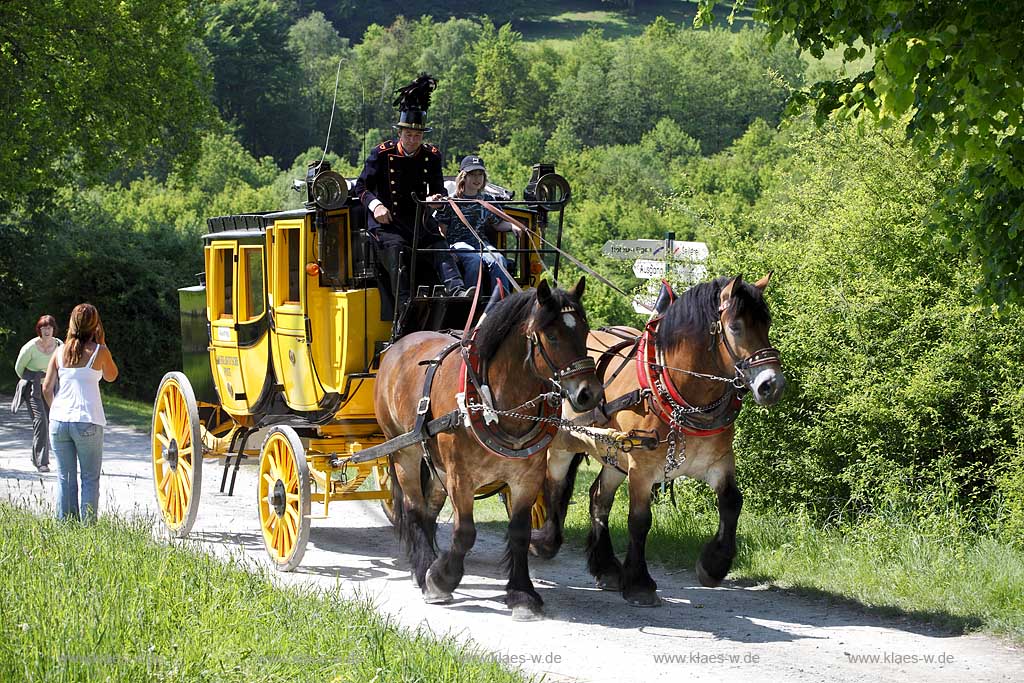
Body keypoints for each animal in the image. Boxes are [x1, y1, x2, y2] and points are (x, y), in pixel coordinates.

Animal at [374, 276, 598, 618]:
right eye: (552, 336)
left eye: (584, 331)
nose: (589, 393)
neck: (496, 402)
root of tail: (398, 345)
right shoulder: (461, 477)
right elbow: (465, 532)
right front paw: (441, 579)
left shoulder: (527, 477)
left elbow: (519, 533)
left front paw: (521, 593)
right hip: (404, 452)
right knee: (413, 508)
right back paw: (424, 569)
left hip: (435, 462)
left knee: (428, 509)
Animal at [536, 274, 782, 606]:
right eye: (735, 327)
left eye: (767, 324)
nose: (773, 385)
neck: (679, 391)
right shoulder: (642, 468)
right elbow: (640, 521)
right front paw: (639, 583)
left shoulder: (718, 462)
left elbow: (732, 502)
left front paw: (714, 564)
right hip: (562, 443)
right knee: (554, 485)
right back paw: (546, 540)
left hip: (614, 455)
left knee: (598, 497)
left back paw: (607, 568)